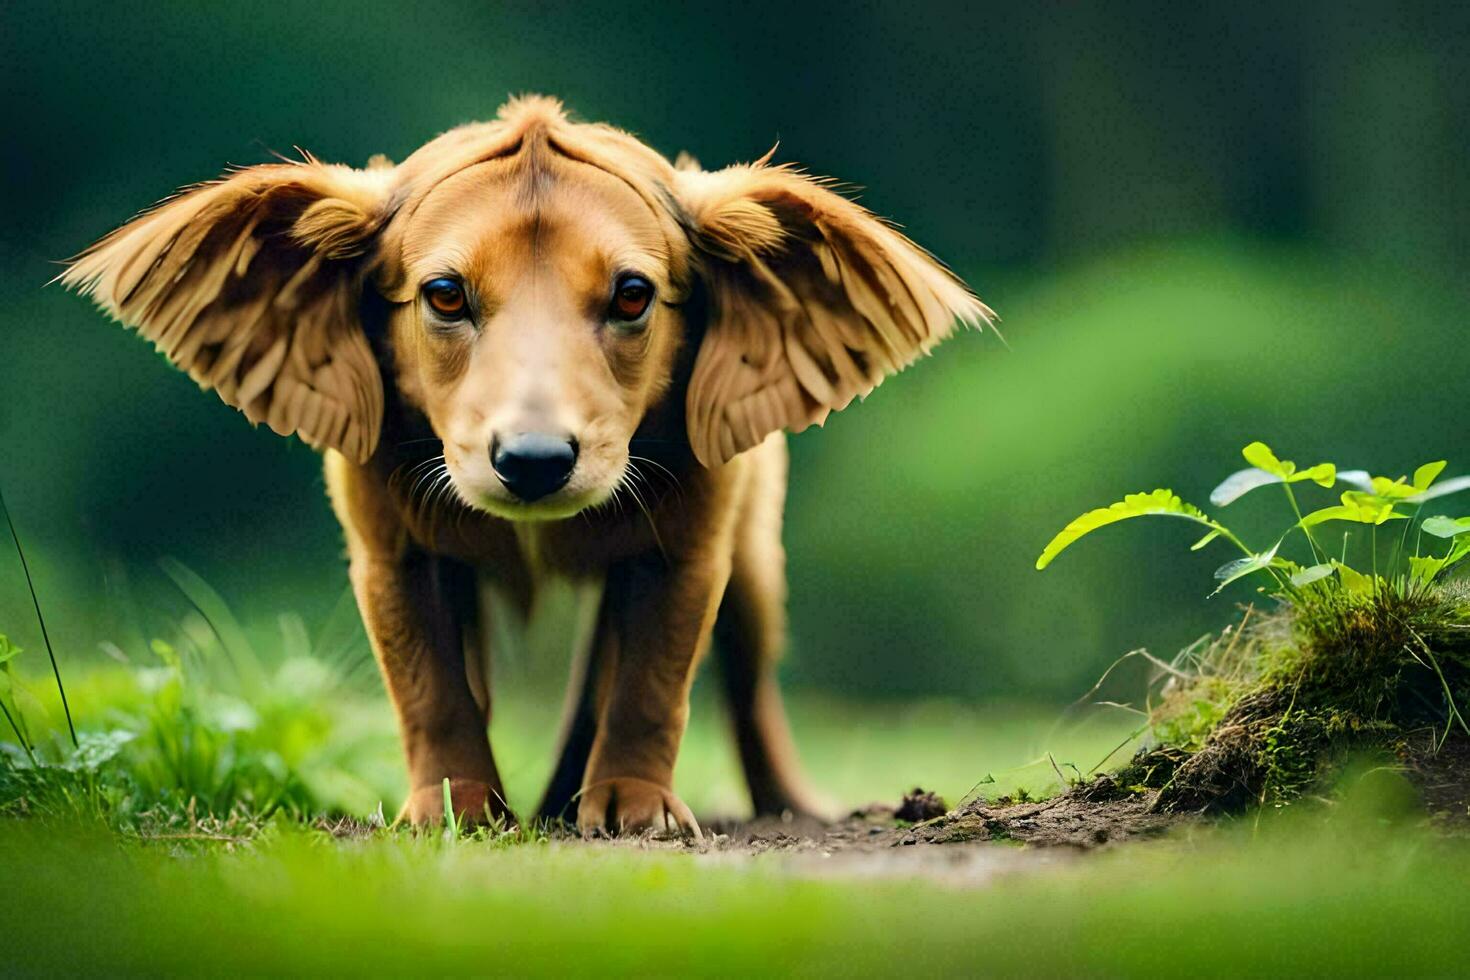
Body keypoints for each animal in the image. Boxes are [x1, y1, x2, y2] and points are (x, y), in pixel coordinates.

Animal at [63, 95, 993, 840]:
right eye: (444, 294)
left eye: (632, 294)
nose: (535, 461)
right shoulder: (381, 529)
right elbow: (426, 676)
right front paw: (453, 811)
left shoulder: (697, 522)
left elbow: (656, 667)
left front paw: (635, 812)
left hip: (761, 531)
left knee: (742, 650)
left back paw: (767, 803)